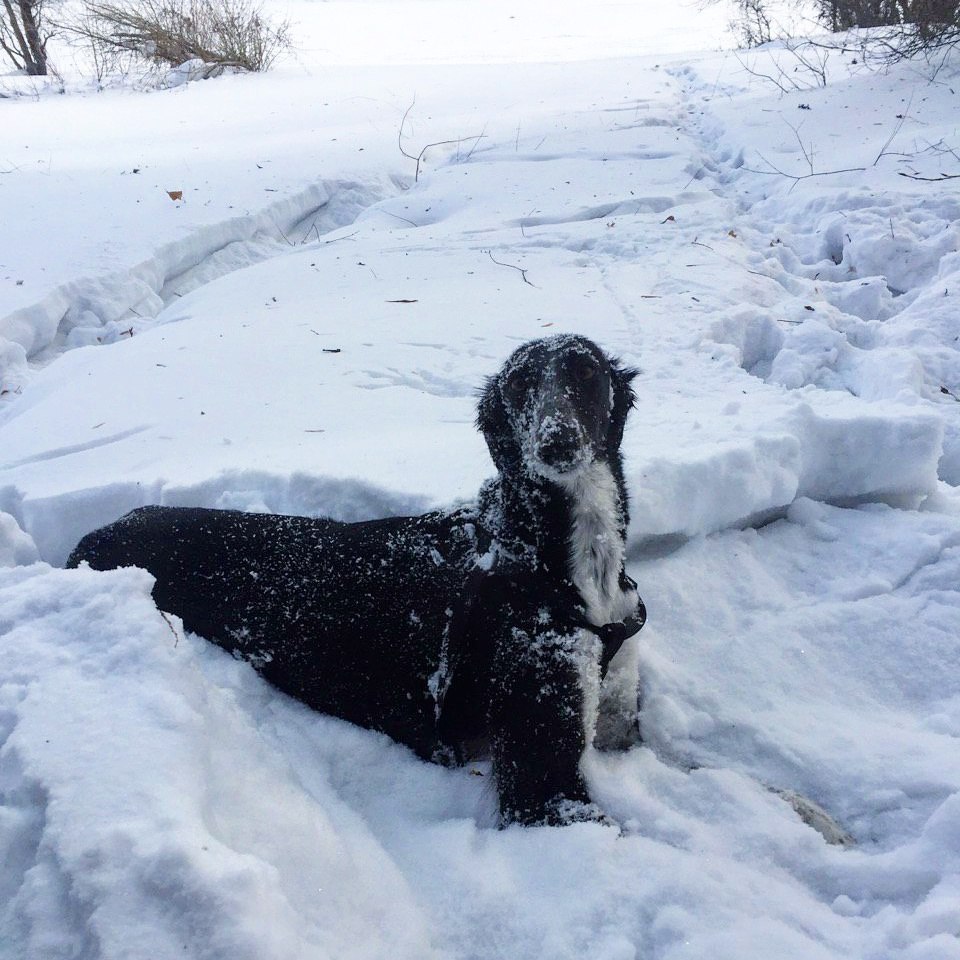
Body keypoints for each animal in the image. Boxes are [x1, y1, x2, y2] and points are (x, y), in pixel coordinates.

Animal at [69, 332, 644, 824]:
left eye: (585, 371)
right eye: (520, 383)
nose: (556, 441)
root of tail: (93, 536)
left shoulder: (619, 712)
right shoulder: (543, 787)